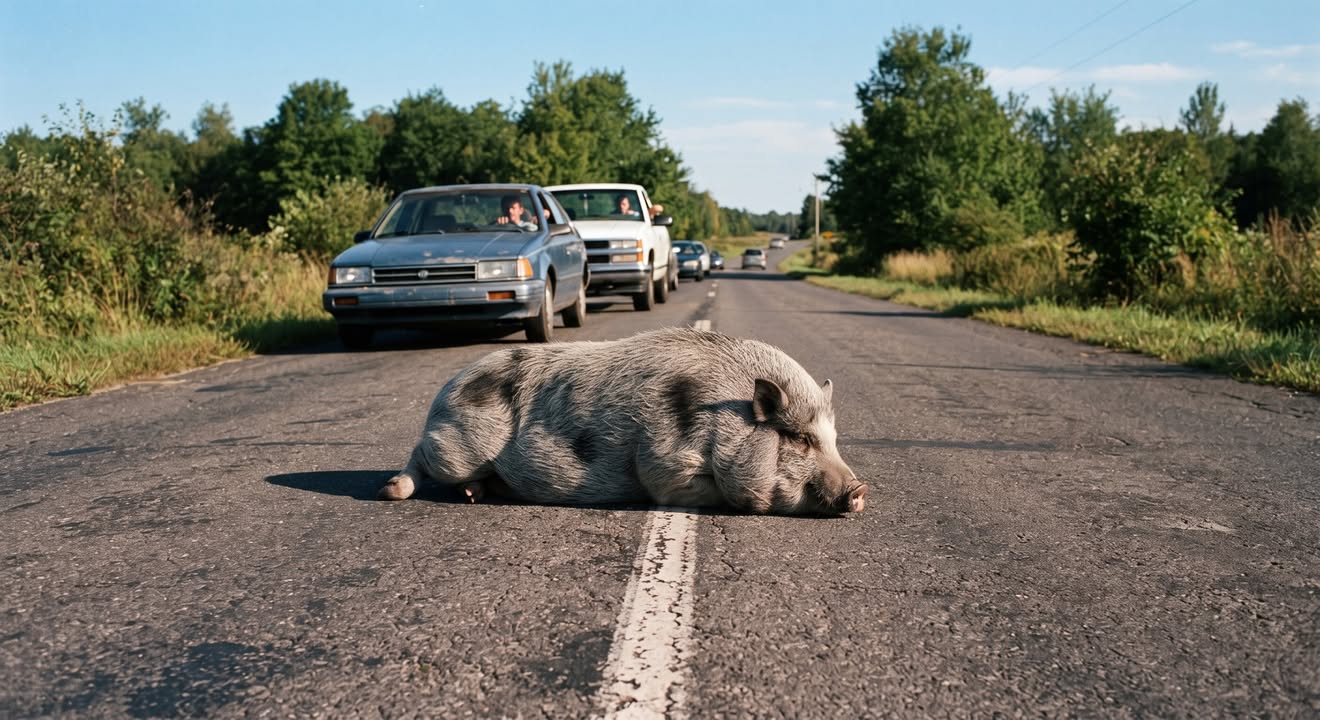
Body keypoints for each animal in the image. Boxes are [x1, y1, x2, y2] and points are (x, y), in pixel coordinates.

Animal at [378, 326, 866, 515]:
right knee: (418, 454)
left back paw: (474, 495)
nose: (860, 488)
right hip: (456, 447)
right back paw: (393, 491)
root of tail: (448, 387)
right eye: (799, 438)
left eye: (832, 439)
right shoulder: (663, 464)